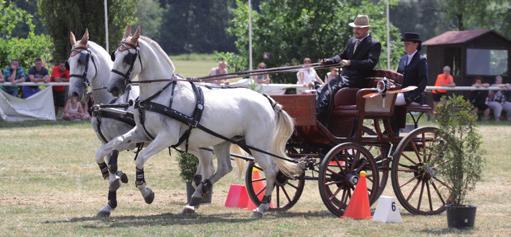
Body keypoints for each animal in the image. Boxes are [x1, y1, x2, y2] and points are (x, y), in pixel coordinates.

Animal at [68, 30, 141, 218]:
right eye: (67, 63)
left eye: (81, 60)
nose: (73, 94)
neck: (112, 101)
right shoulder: (105, 141)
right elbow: (109, 164)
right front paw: (109, 204)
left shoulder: (124, 140)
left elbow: (113, 164)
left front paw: (117, 180)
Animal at [98, 26, 302, 218]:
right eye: (115, 55)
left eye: (127, 58)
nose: (112, 88)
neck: (161, 94)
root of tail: (267, 99)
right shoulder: (142, 133)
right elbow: (105, 148)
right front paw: (110, 176)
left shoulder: (167, 137)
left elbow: (140, 158)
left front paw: (147, 192)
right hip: (222, 142)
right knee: (224, 167)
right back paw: (196, 196)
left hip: (256, 144)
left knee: (271, 170)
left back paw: (261, 207)